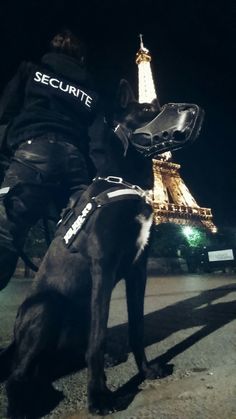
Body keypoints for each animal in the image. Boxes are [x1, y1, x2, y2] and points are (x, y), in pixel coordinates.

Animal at [0, 80, 203, 418]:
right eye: (147, 109)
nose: (194, 109)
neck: (123, 182)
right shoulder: (103, 268)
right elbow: (97, 339)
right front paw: (99, 397)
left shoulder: (138, 271)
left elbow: (136, 328)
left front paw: (146, 371)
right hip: (47, 305)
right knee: (18, 374)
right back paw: (24, 402)